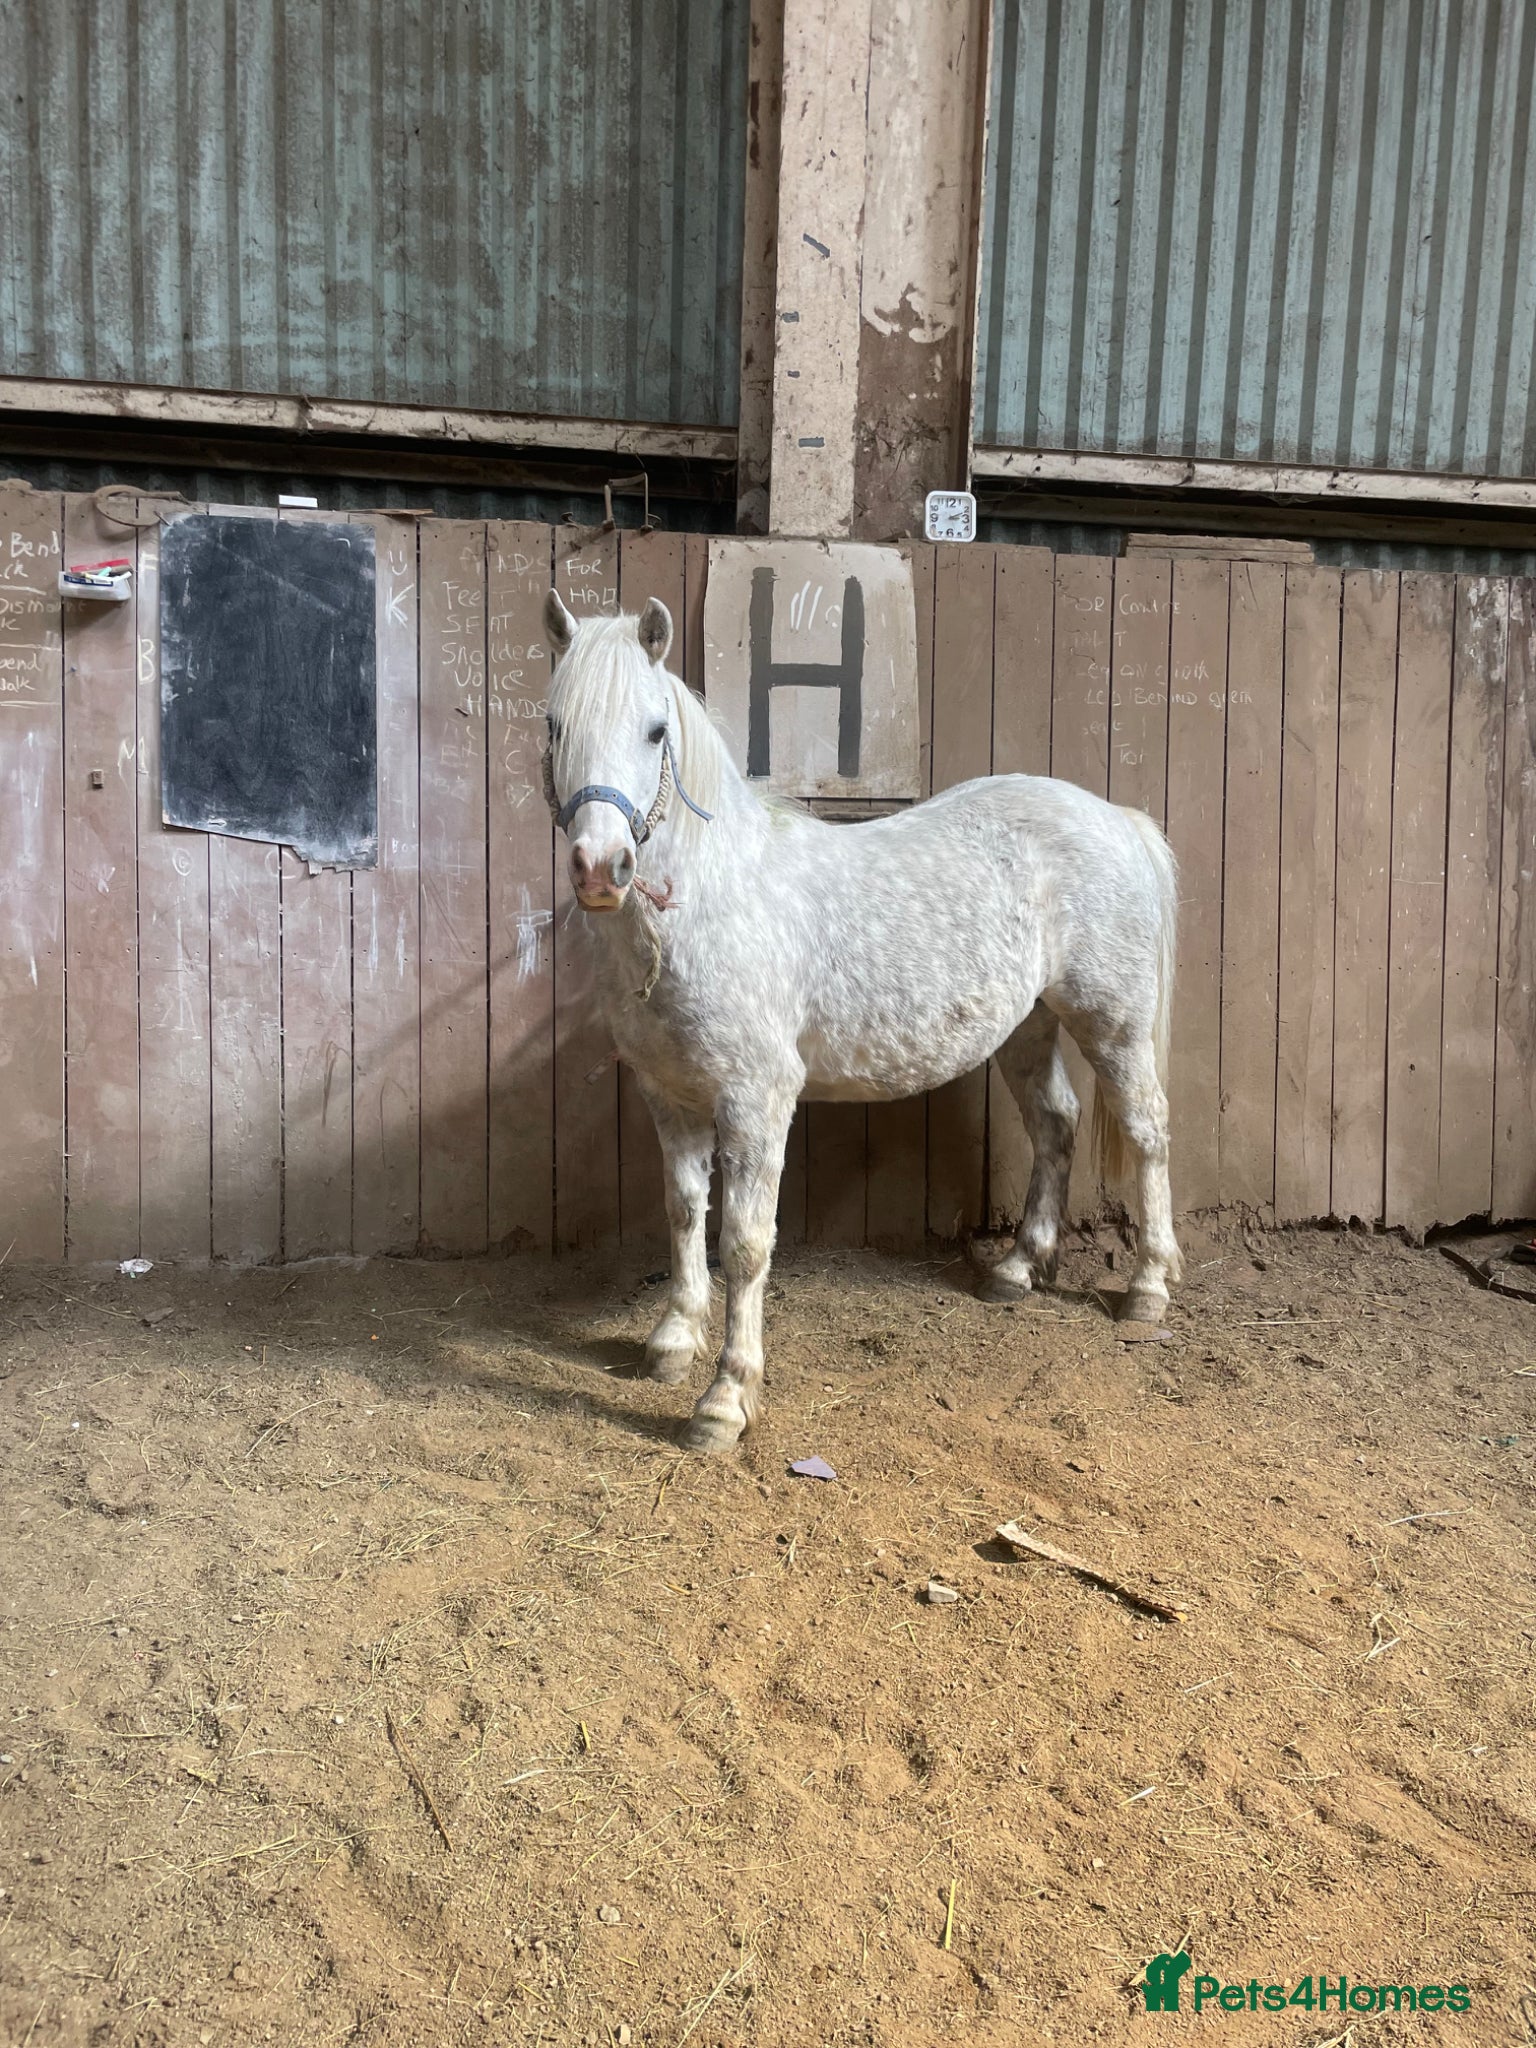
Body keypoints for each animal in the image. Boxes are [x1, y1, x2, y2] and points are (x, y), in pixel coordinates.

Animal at [541, 588, 1181, 1454]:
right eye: (554, 725)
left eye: (654, 730)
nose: (600, 869)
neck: (712, 899)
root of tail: (1117, 818)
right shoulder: (669, 1097)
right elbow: (683, 1214)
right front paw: (673, 1339)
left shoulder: (756, 1100)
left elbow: (744, 1243)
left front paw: (725, 1400)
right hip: (1027, 1026)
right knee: (1056, 1122)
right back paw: (1017, 1270)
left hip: (1112, 1022)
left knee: (1145, 1131)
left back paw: (1147, 1287)